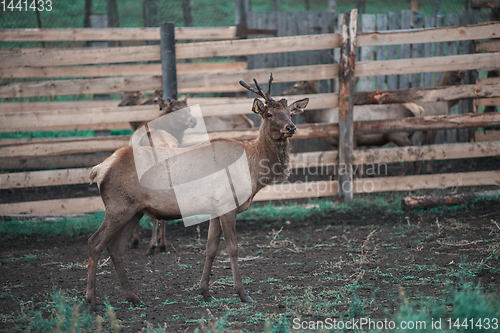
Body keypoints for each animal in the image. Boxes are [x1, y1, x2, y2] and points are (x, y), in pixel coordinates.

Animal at [88, 74, 310, 306]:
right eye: (269, 114)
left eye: (290, 113)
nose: (291, 128)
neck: (253, 169)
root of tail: (99, 168)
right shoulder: (227, 203)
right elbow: (232, 248)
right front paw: (242, 293)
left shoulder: (215, 209)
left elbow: (210, 249)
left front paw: (205, 291)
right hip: (118, 207)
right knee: (95, 242)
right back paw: (92, 299)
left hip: (134, 211)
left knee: (115, 248)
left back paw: (133, 297)